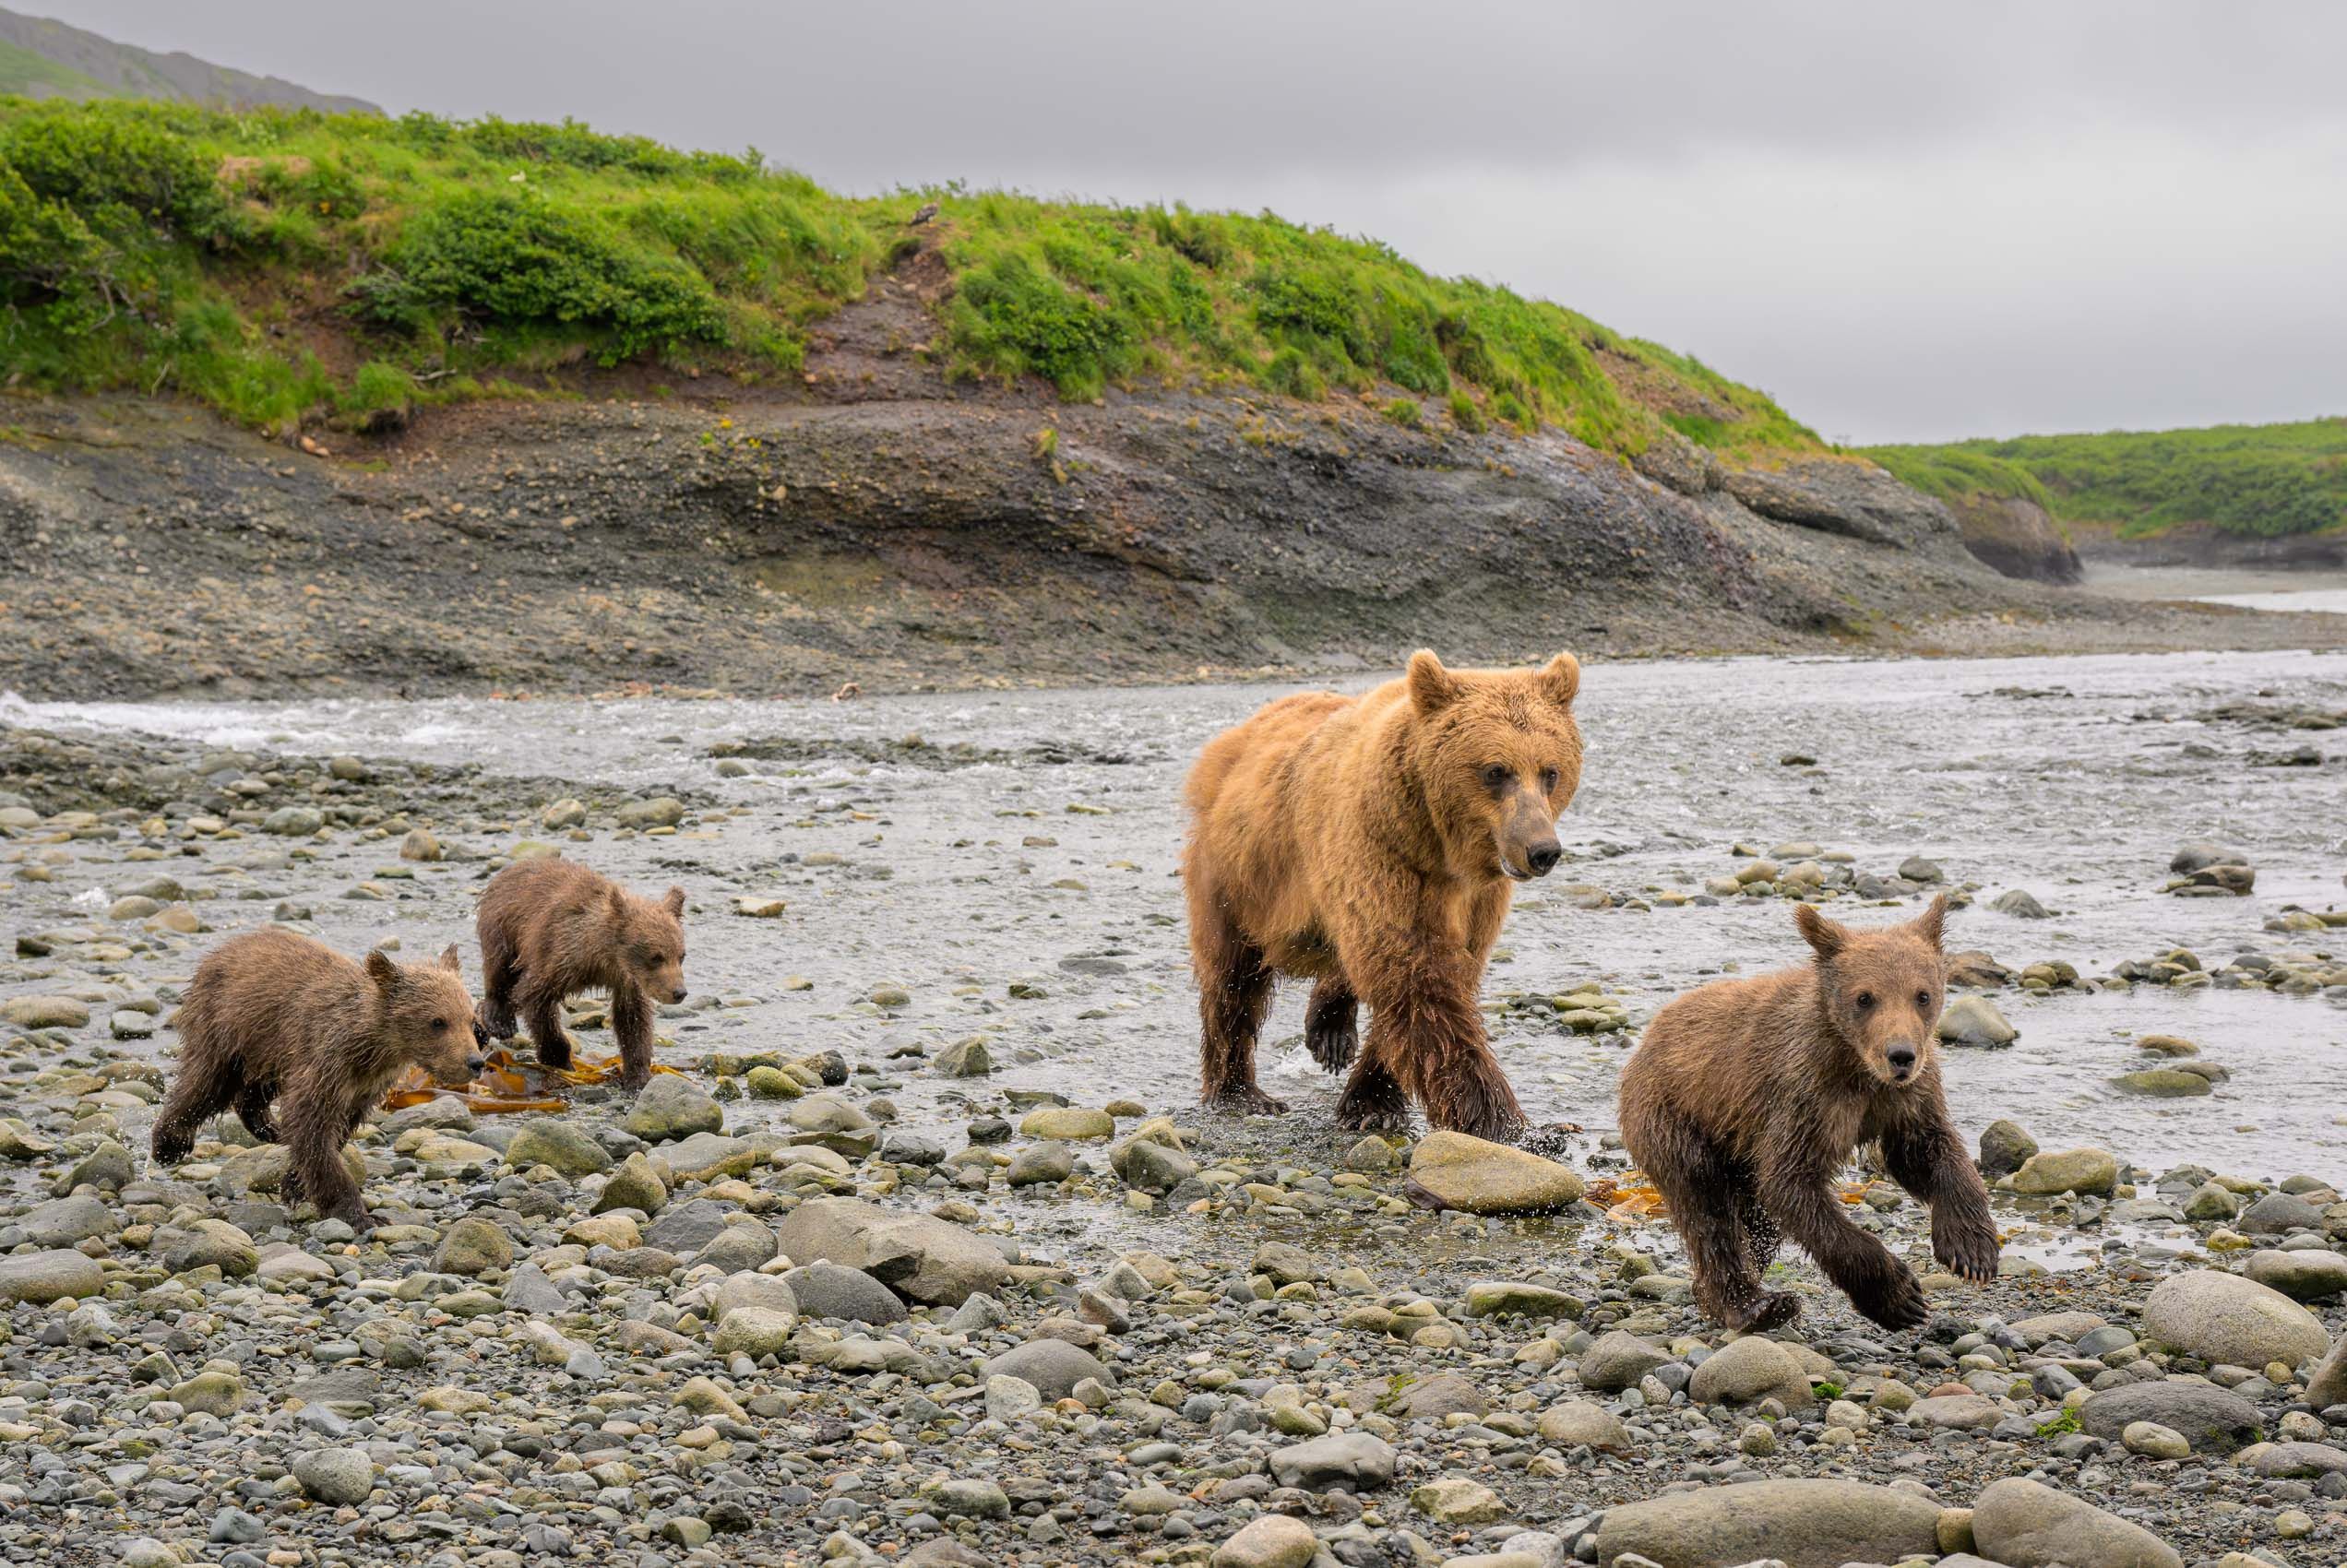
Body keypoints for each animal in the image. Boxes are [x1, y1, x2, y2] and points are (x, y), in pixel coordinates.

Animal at [151, 928, 483, 1232]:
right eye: (437, 1021)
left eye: (471, 1020)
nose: (475, 1062)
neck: (372, 1046)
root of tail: (222, 948)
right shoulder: (325, 1062)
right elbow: (312, 1127)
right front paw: (360, 1214)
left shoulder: (363, 1085)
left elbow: (336, 1130)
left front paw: (294, 1184)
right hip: (226, 1026)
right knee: (206, 1084)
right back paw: (169, 1143)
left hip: (271, 1047)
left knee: (254, 1089)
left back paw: (268, 1127)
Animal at [474, 857, 688, 1090]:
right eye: (656, 957)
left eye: (681, 956)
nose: (679, 992)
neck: (601, 957)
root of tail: (511, 868)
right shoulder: (557, 958)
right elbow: (536, 1001)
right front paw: (560, 1060)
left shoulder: (626, 980)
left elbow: (633, 1019)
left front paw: (637, 1075)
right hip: (503, 927)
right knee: (500, 971)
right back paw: (499, 1020)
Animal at [1181, 648, 1583, 1139]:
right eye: (1496, 771)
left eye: (1550, 772)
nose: (1542, 851)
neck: (1439, 850)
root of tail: (1235, 735)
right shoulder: (1382, 854)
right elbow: (1412, 976)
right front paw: (1506, 1123)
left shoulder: (1476, 898)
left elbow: (1429, 975)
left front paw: (1374, 1099)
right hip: (1238, 873)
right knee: (1233, 977)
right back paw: (1239, 1089)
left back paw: (1330, 1031)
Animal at [1616, 894, 2000, 1333]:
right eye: (1865, 997)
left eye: (1922, 995)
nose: (1901, 1055)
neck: (1857, 1067)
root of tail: (1650, 1034)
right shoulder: (1804, 1097)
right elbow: (1792, 1185)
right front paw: (1900, 1297)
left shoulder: (1905, 1100)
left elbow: (1926, 1151)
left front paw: (1972, 1249)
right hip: (1674, 1117)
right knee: (1708, 1210)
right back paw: (1754, 1305)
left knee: (1755, 1223)